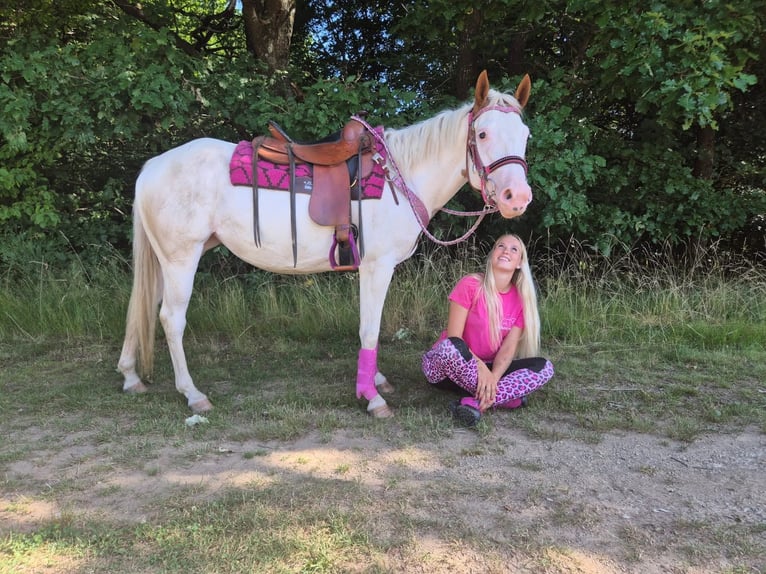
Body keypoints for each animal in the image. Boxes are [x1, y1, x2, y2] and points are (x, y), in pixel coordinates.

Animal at [117, 70, 533, 417]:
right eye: (482, 134)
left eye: (525, 135)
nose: (517, 198)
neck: (400, 177)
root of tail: (152, 166)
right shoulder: (377, 266)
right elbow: (370, 329)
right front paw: (372, 398)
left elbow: (369, 325)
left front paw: (374, 381)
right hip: (181, 258)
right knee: (170, 319)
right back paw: (192, 394)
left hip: (169, 259)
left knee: (141, 305)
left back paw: (130, 376)